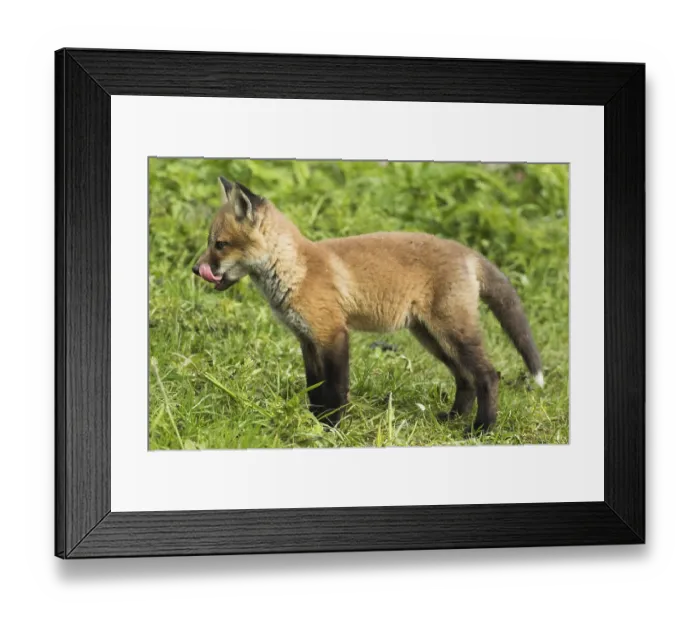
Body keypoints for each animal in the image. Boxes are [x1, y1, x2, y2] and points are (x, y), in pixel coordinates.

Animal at [193, 176, 544, 434]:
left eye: (220, 245)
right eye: (210, 242)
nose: (196, 270)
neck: (295, 269)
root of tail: (467, 251)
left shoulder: (333, 334)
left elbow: (336, 390)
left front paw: (333, 428)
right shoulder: (307, 340)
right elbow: (314, 390)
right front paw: (314, 423)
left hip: (454, 334)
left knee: (489, 375)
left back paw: (482, 428)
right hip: (432, 338)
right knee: (465, 379)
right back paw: (454, 418)